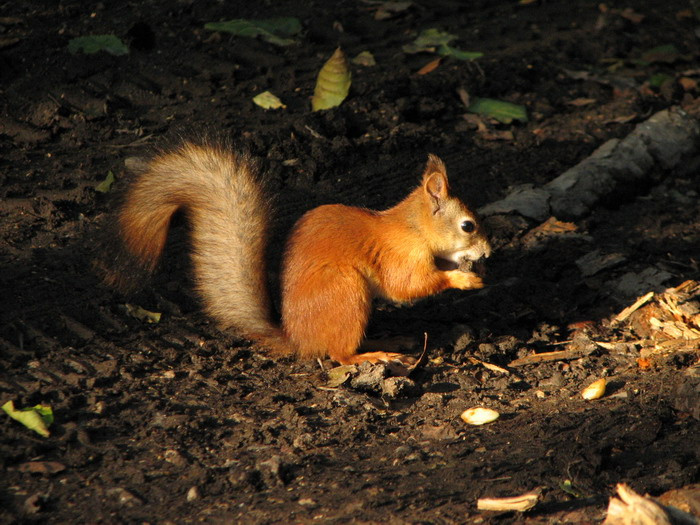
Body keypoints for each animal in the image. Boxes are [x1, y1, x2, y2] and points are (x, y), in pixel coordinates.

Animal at [104, 142, 491, 365]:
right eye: (468, 226)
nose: (488, 252)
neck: (414, 228)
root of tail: (297, 339)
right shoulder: (400, 256)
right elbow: (407, 286)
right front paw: (462, 279)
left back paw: (392, 338)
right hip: (345, 290)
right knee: (339, 354)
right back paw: (374, 354)